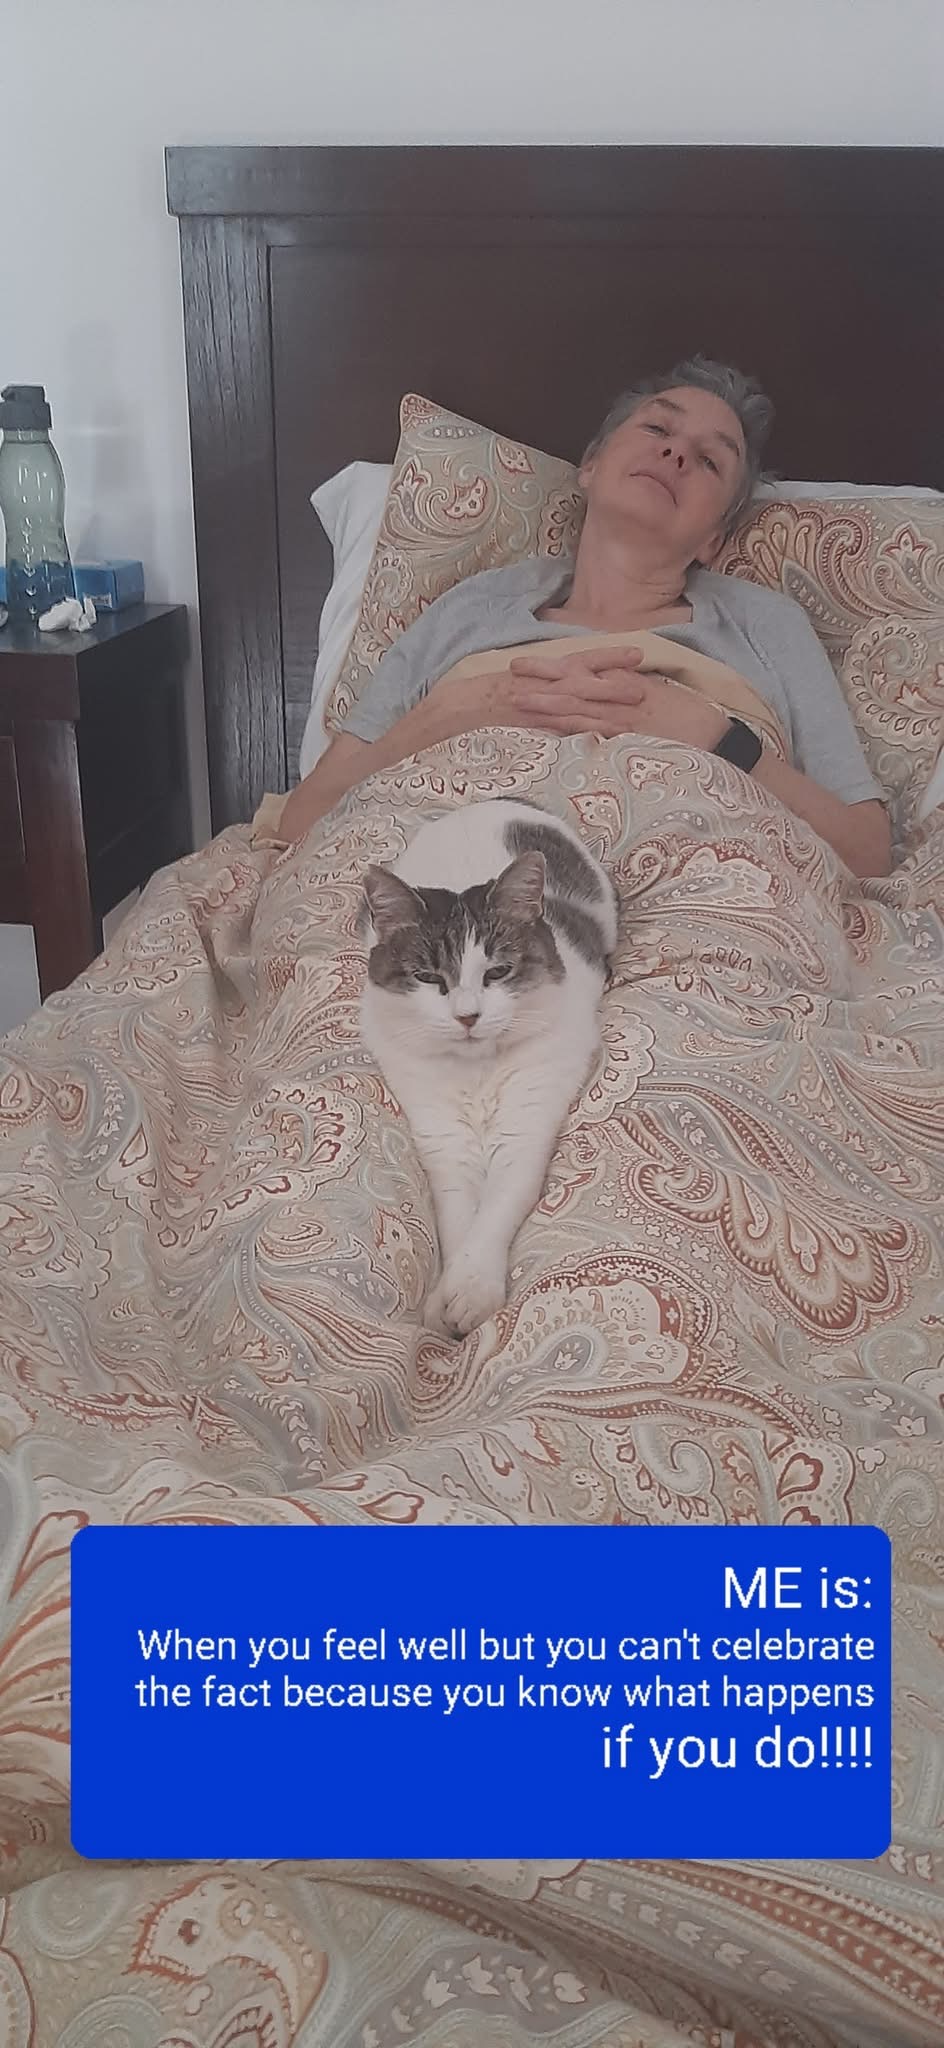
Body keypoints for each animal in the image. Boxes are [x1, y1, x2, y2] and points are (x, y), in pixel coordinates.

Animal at [360, 799, 618, 1338]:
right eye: (428, 977)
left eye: (497, 972)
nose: (467, 1016)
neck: (476, 1073)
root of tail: (493, 803)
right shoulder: (443, 1141)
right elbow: (459, 1219)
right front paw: (445, 1299)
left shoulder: (525, 1127)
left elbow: (496, 1212)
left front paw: (472, 1292)